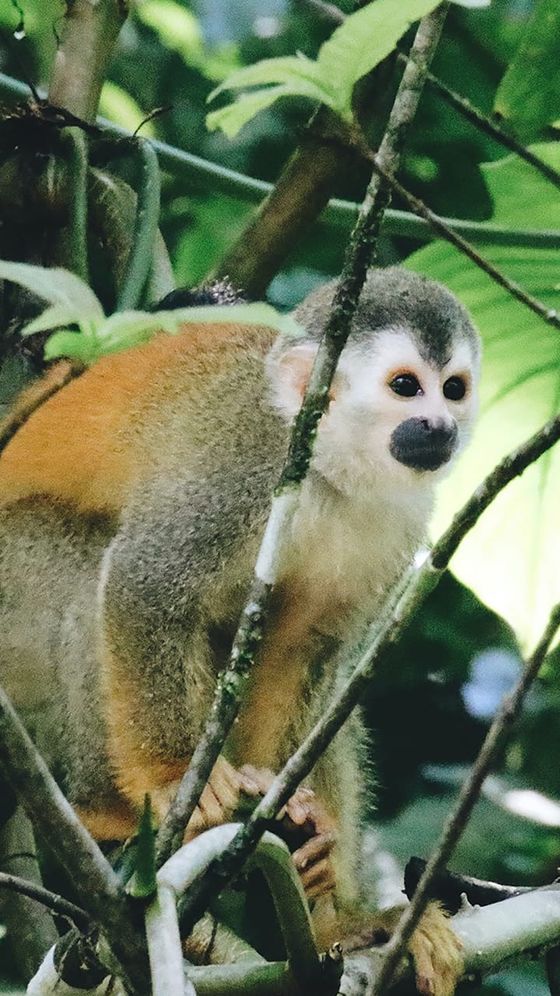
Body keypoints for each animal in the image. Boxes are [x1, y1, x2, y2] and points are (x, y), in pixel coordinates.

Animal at [0, 267, 479, 993]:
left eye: (453, 387)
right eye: (405, 386)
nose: (440, 425)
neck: (327, 470)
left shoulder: (393, 521)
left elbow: (300, 652)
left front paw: (307, 844)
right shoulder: (243, 471)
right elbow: (144, 581)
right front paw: (176, 779)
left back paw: (343, 919)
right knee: (90, 563)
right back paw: (102, 809)